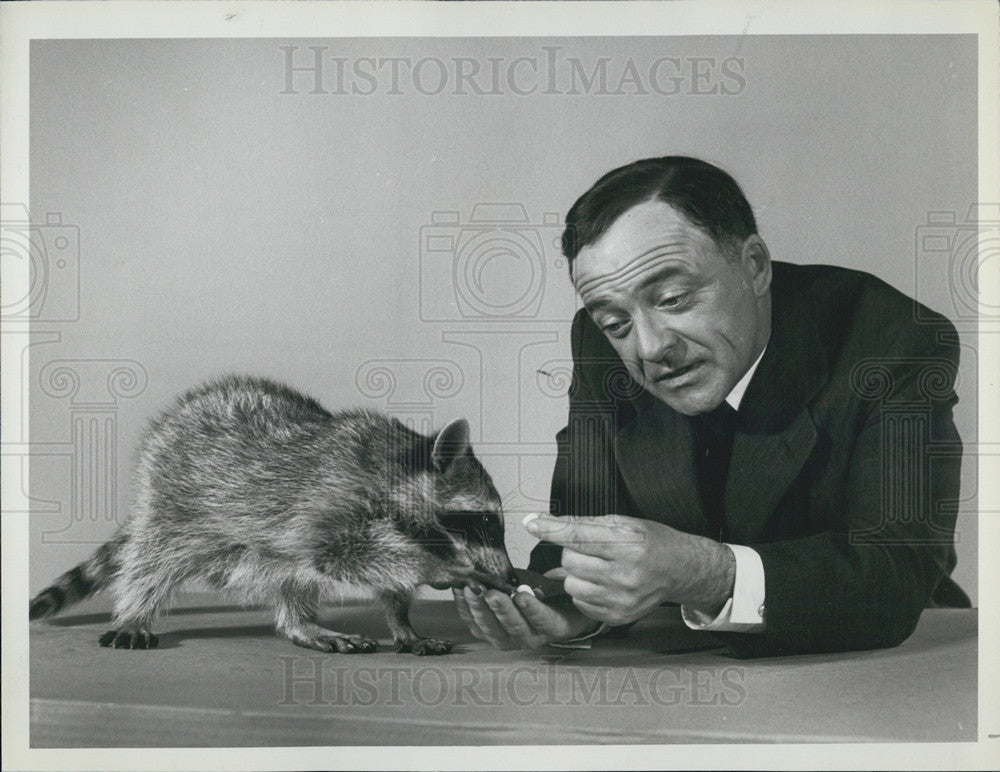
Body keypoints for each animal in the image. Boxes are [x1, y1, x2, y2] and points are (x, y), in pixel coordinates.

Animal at [30, 376, 516, 656]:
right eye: (486, 522)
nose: (511, 576)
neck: (397, 469)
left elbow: (380, 577)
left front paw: (403, 622)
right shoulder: (335, 499)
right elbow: (341, 554)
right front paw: (436, 567)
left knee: (290, 577)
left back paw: (300, 624)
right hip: (176, 500)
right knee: (153, 559)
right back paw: (135, 611)